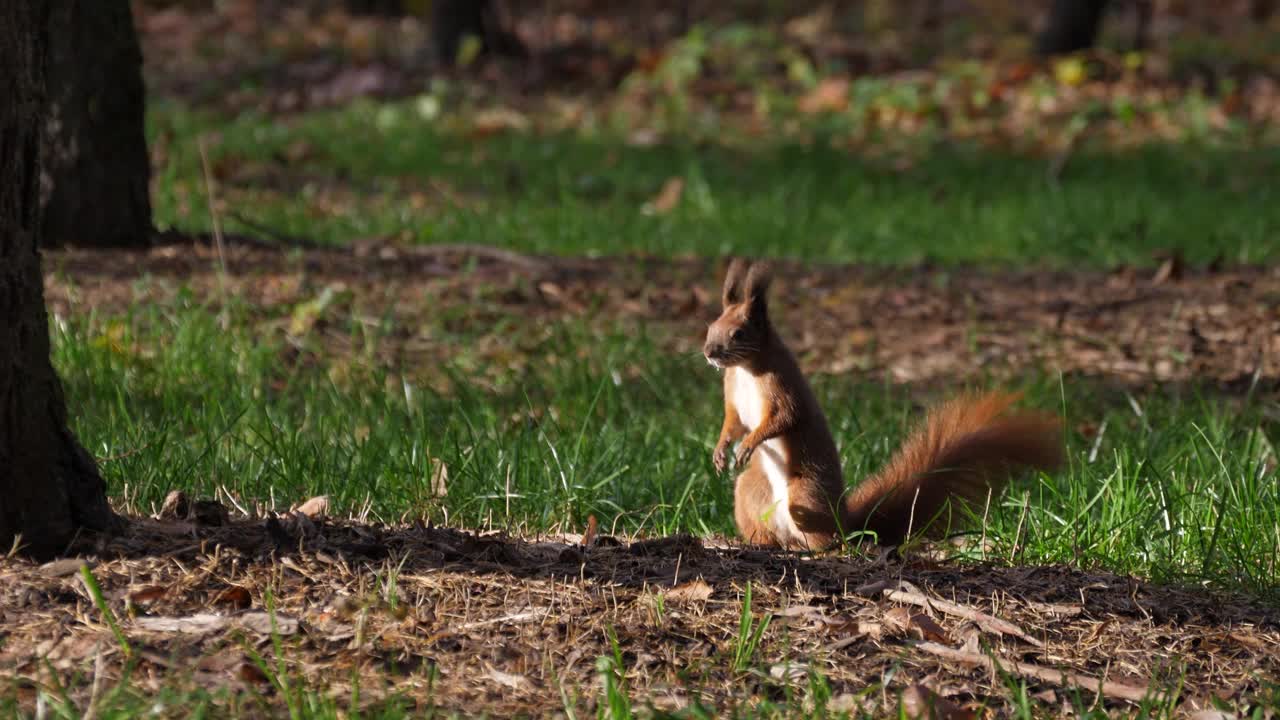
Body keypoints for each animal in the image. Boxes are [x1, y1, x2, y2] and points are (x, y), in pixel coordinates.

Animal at [706, 260, 1064, 545]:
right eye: (710, 326)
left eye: (738, 334)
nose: (709, 353)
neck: (746, 368)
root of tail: (848, 522)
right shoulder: (732, 393)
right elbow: (733, 420)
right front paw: (722, 449)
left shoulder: (782, 386)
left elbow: (782, 419)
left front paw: (748, 444)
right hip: (750, 491)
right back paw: (760, 542)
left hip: (806, 489)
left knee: (823, 536)